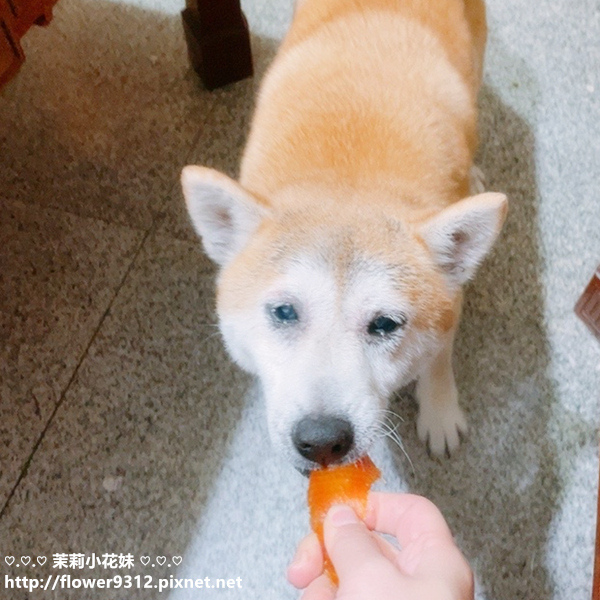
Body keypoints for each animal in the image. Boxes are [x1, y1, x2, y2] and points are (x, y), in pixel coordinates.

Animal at [179, 0, 506, 472]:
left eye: (385, 324)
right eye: (283, 312)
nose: (322, 440)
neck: (345, 177)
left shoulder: (453, 297)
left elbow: (439, 358)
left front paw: (440, 410)